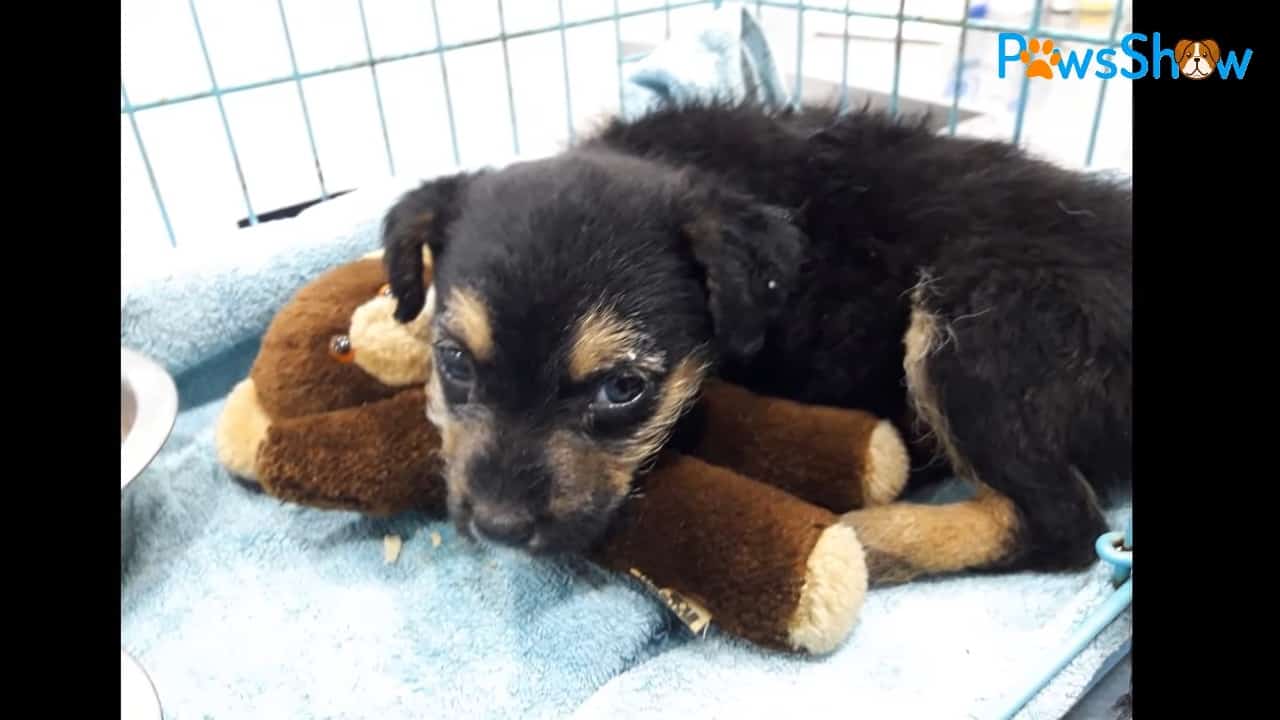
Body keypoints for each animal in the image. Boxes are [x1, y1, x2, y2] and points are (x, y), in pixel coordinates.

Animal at [376, 99, 1131, 584]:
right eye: (455, 362)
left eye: (624, 389)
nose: (498, 527)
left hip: (978, 326)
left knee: (1062, 524)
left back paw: (864, 537)